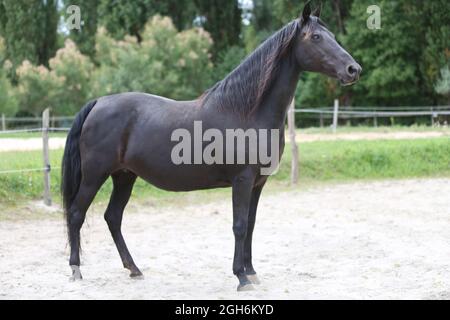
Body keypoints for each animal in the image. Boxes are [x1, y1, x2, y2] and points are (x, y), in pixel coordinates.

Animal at [61, 2, 362, 292]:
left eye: (332, 35)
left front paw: (252, 272)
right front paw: (241, 277)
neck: (246, 112)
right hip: (95, 175)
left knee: (113, 217)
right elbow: (239, 226)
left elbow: (251, 225)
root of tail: (98, 103)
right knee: (76, 214)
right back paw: (75, 270)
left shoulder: (258, 183)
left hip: (124, 176)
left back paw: (134, 269)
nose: (353, 70)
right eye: (316, 37)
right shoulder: (242, 180)